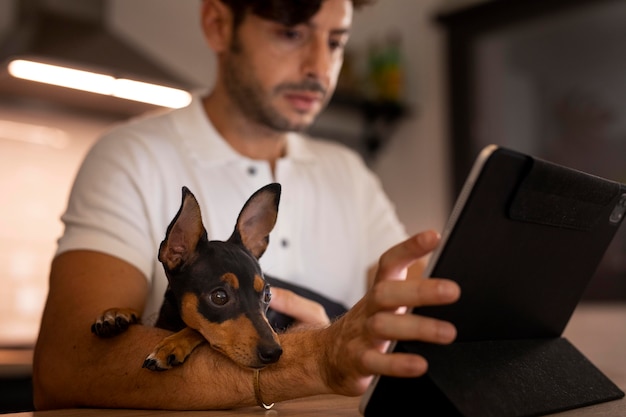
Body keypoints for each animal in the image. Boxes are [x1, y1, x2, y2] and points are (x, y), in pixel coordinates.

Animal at [91, 183, 284, 370]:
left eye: (268, 295)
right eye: (219, 297)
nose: (274, 352)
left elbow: (196, 330)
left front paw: (173, 344)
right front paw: (117, 312)